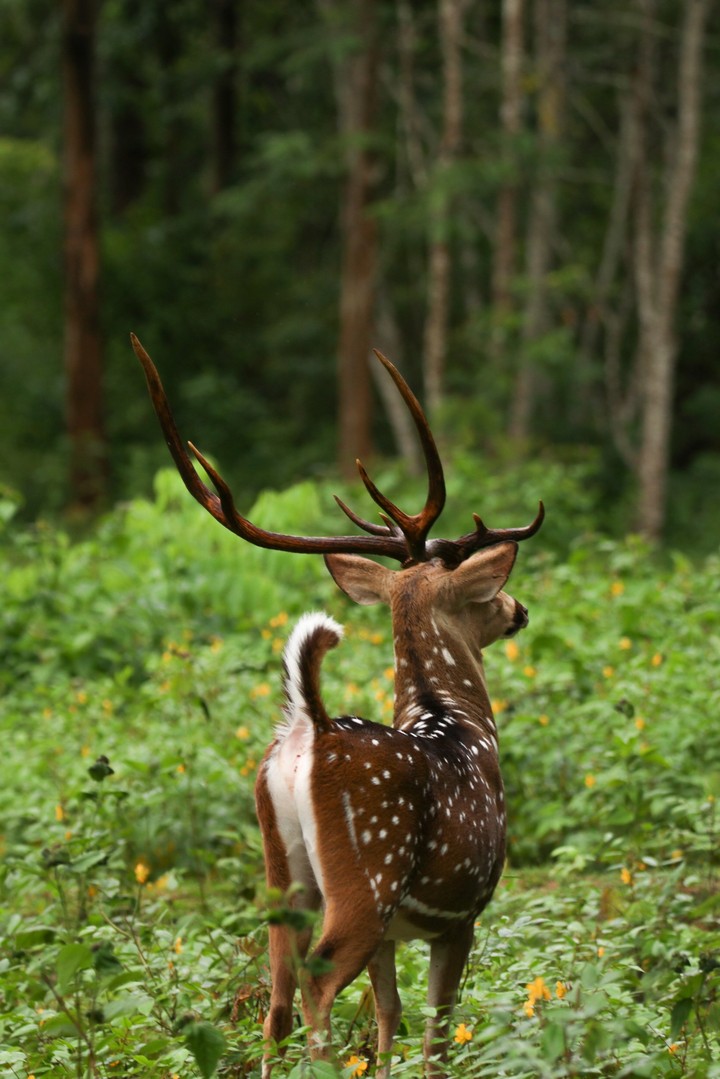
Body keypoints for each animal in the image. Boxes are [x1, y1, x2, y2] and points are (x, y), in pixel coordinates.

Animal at [131, 333, 543, 1077]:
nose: (518, 608)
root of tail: (307, 729)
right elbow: (435, 1033)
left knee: (273, 996)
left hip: (283, 870)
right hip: (366, 876)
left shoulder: (394, 933)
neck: (464, 727)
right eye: (486, 589)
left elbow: (388, 1017)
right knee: (316, 982)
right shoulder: (462, 910)